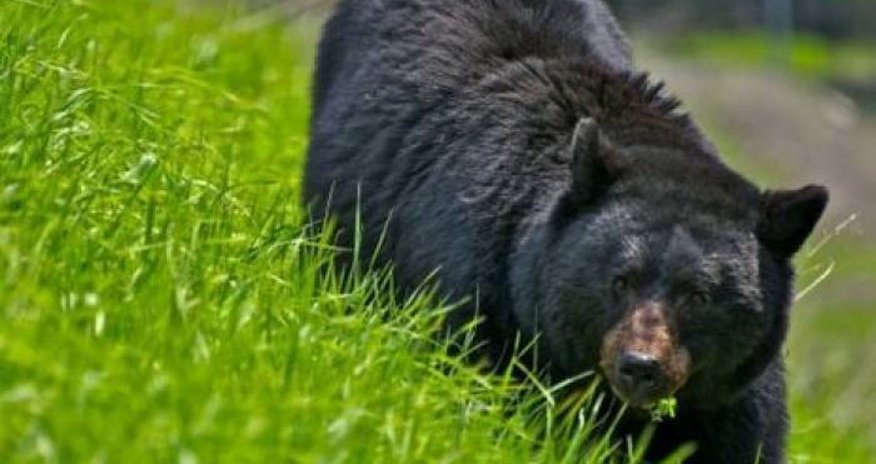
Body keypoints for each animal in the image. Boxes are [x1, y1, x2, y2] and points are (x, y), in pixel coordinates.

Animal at [304, 0, 829, 462]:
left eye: (699, 295)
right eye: (620, 280)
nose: (640, 367)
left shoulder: (730, 398)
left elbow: (743, 440)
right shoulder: (481, 297)